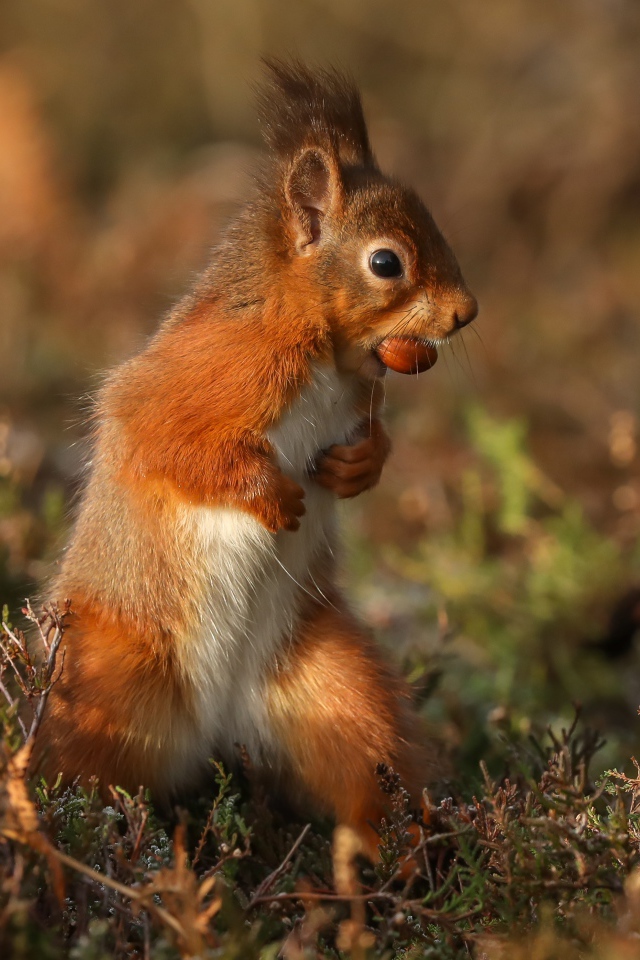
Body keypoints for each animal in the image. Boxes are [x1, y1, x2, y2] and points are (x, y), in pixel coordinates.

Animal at [35, 62, 476, 856]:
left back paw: (391, 853)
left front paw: (357, 470)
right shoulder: (205, 376)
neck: (327, 351)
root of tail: (213, 729)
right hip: (105, 687)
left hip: (331, 682)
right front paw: (271, 495)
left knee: (368, 760)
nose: (466, 313)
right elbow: (165, 442)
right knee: (80, 776)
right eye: (386, 262)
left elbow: (372, 445)